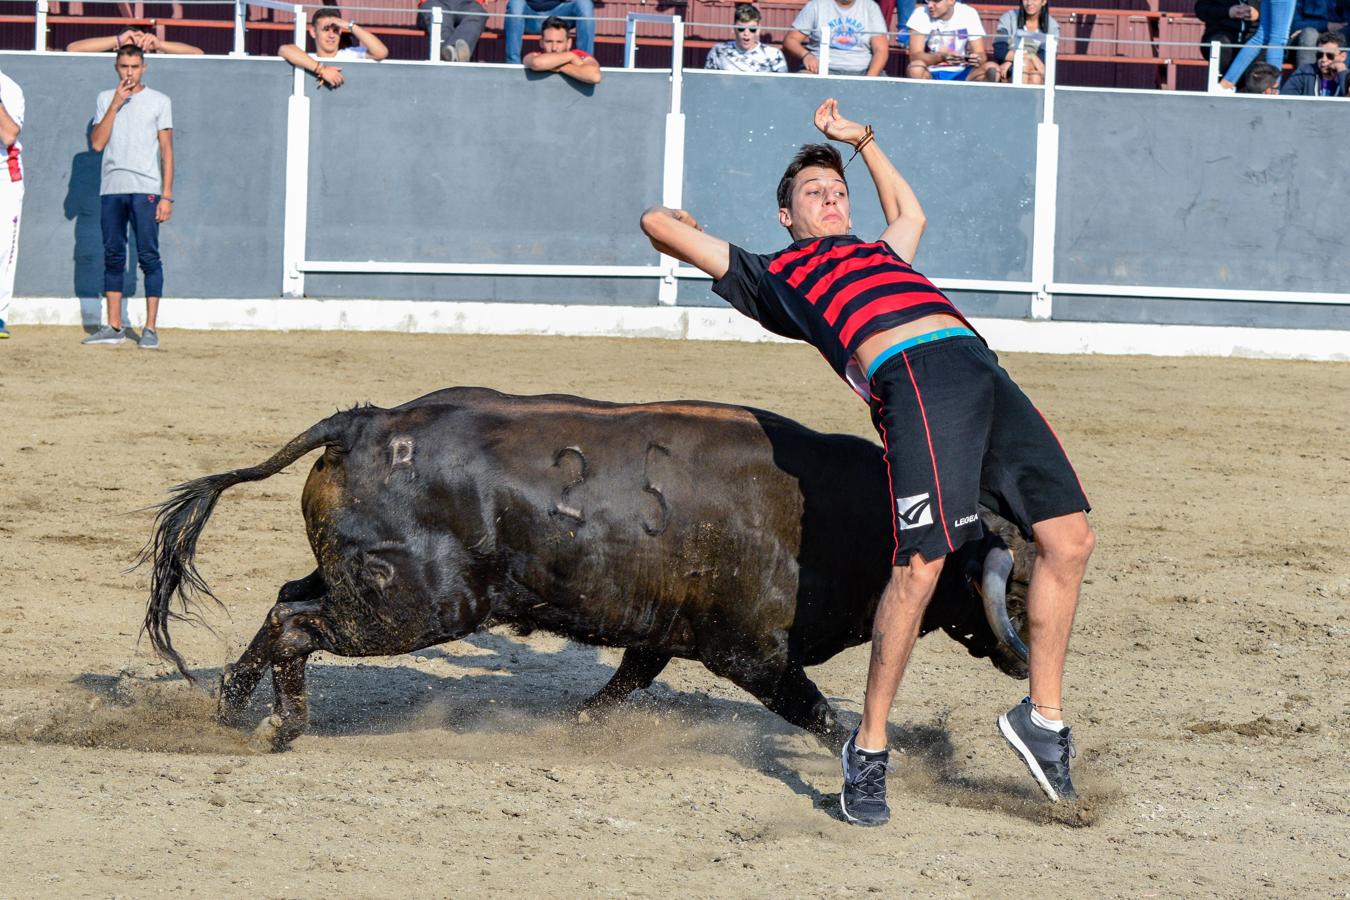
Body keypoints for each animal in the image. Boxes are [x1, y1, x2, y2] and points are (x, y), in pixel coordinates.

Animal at [139, 383, 1031, 750]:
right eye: (1011, 577)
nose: (1031, 655)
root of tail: (365, 423)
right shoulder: (750, 652)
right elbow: (818, 713)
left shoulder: (661, 634)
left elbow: (618, 688)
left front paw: (569, 727)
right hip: (416, 608)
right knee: (298, 624)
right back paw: (283, 726)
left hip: (366, 583)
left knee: (284, 602)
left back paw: (228, 706)